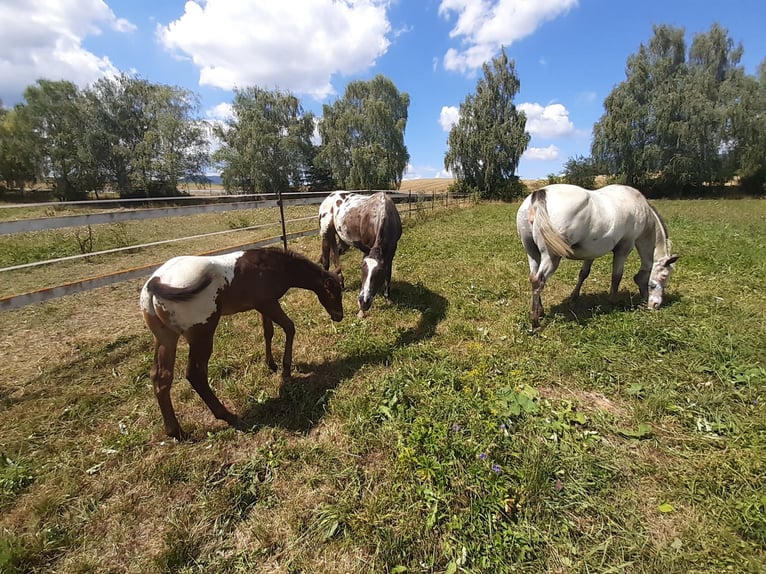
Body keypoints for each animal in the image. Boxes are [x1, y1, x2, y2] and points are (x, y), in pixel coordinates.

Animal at [140, 249, 344, 440]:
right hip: (202, 334)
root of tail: (155, 282)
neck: (271, 264)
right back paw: (228, 416)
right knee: (196, 375)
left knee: (161, 378)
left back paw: (176, 432)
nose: (339, 316)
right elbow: (289, 328)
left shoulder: (262, 306)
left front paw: (271, 364)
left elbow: (268, 332)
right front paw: (286, 371)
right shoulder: (268, 303)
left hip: (166, 338)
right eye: (333, 293)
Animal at [516, 184, 680, 328]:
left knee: (533, 277)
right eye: (664, 276)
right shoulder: (624, 248)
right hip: (551, 257)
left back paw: (540, 311)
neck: (641, 209)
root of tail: (540, 193)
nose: (655, 305)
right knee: (538, 281)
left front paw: (574, 297)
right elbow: (616, 276)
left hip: (532, 253)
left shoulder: (591, 252)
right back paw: (535, 321)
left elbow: (583, 274)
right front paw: (612, 301)